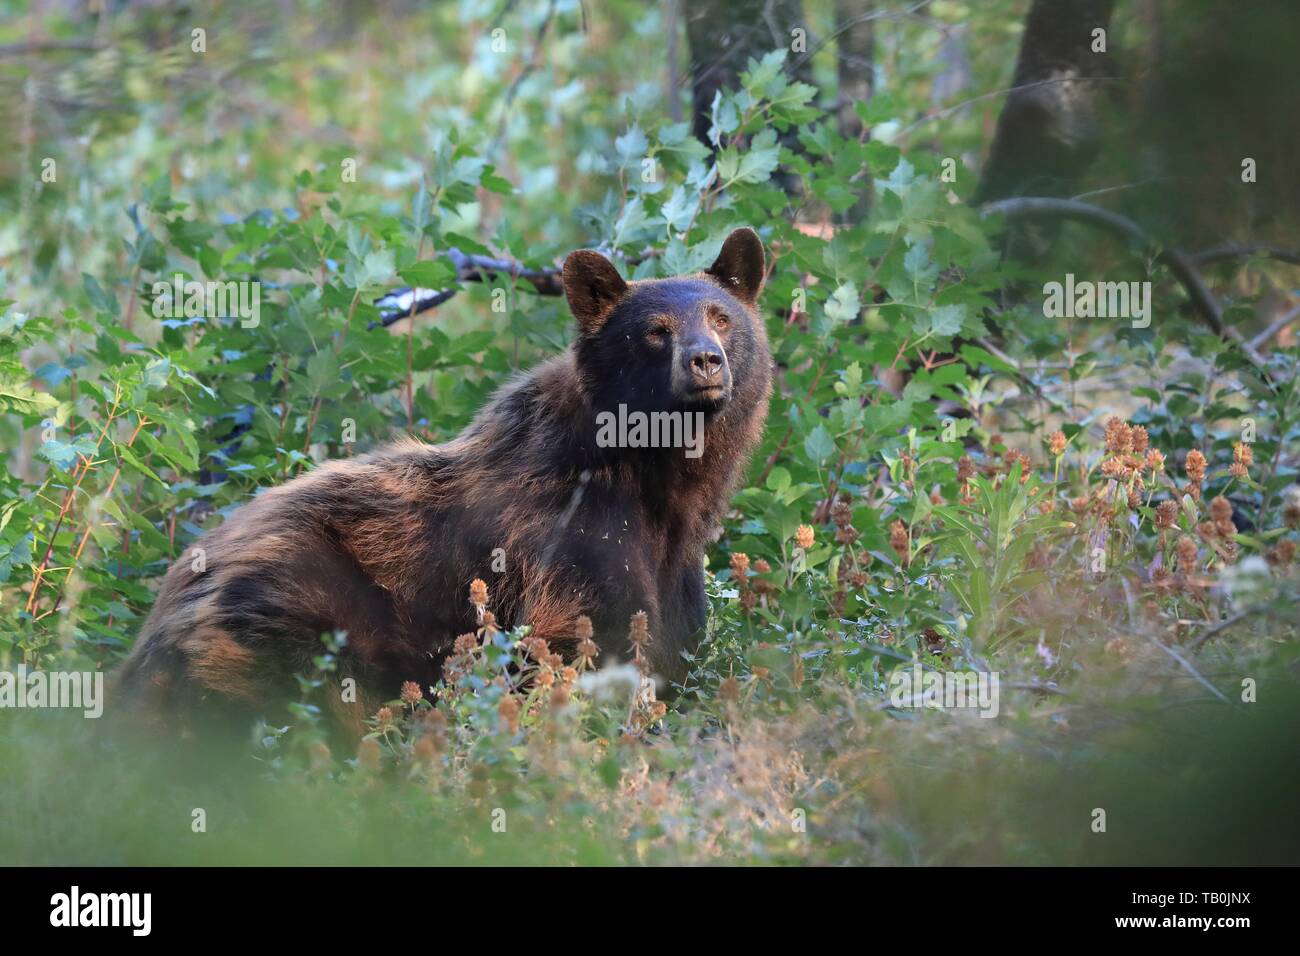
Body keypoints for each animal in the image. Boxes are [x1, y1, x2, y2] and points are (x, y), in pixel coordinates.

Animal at [115, 227, 772, 735]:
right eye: (655, 329)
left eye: (721, 316)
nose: (706, 360)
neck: (660, 481)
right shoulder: (569, 539)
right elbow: (584, 641)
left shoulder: (674, 569)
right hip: (289, 620)